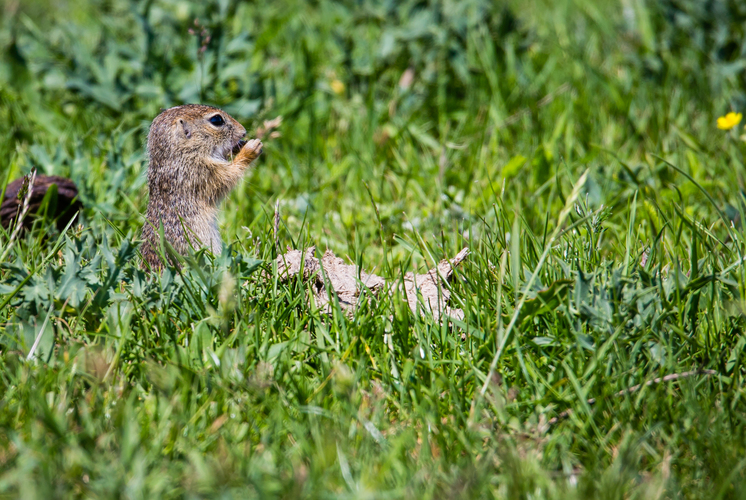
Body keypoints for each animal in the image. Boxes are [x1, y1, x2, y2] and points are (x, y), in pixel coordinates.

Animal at [140, 103, 262, 272]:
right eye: (216, 120)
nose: (243, 131)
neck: (180, 154)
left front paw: (240, 146)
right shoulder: (202, 174)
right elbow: (229, 175)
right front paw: (250, 149)